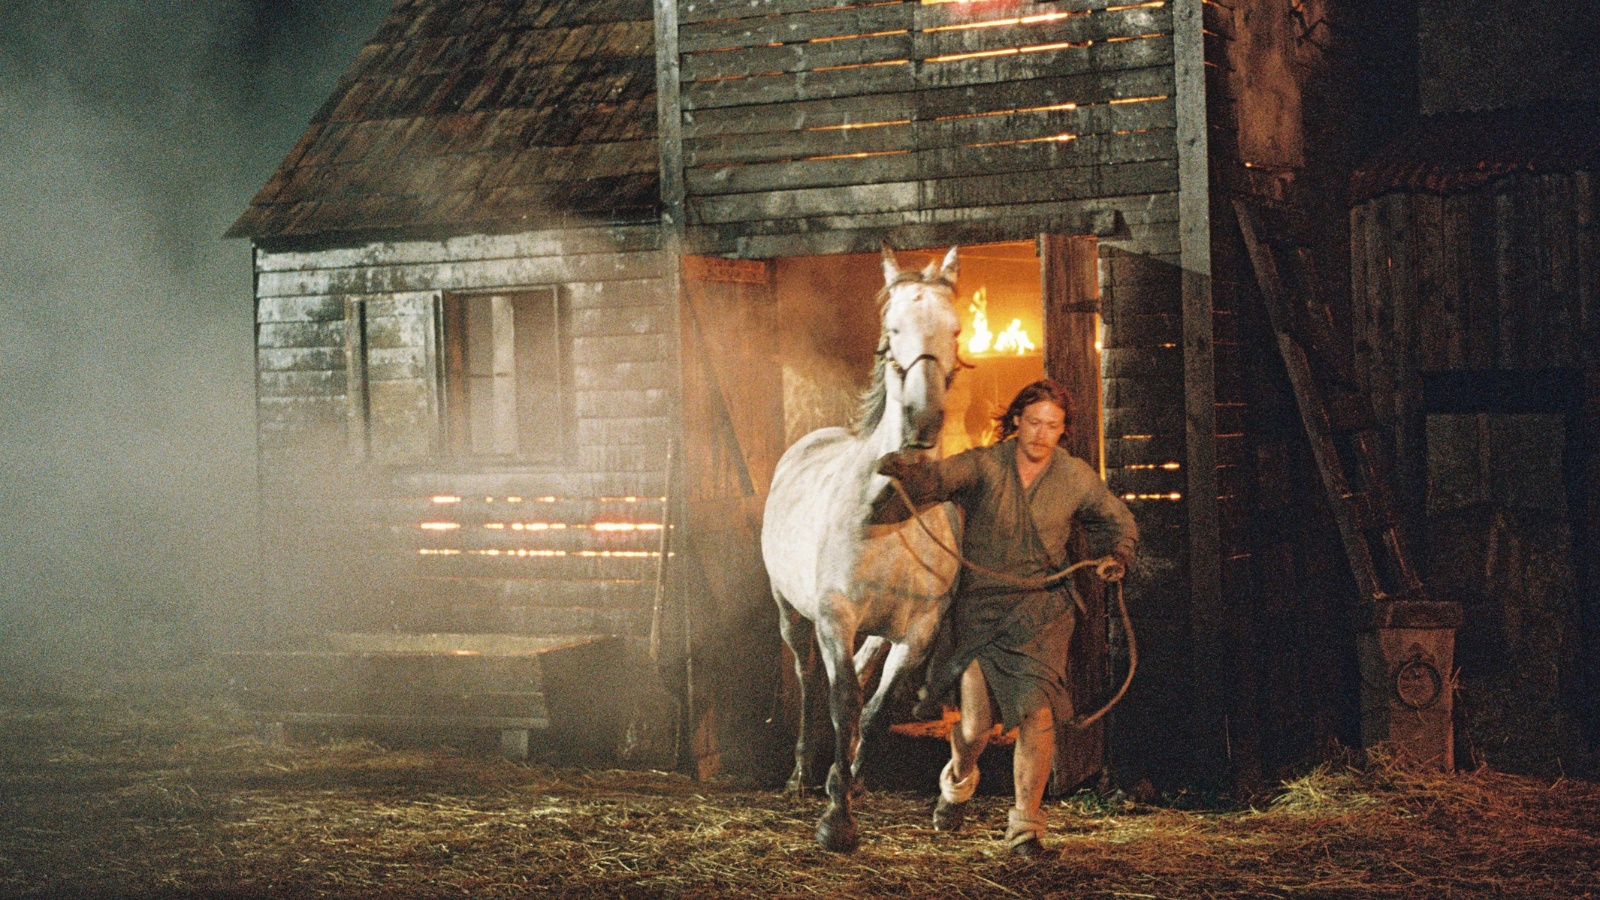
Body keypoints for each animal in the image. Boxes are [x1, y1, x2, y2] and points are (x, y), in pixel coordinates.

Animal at [761, 243, 960, 845]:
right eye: (892, 330)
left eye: (955, 330)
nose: (924, 418)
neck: (888, 511)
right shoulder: (834, 616)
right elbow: (842, 702)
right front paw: (836, 822)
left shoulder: (917, 630)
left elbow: (875, 710)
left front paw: (849, 786)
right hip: (791, 613)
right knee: (809, 683)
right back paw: (804, 775)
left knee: (863, 668)